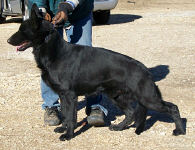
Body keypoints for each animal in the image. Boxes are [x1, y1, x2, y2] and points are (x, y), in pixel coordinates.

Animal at [6, 4, 185, 141]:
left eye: (22, 30)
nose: (7, 40)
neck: (54, 51)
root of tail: (145, 69)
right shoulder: (63, 96)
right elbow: (65, 114)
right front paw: (63, 128)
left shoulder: (69, 96)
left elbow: (71, 117)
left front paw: (68, 135)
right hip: (117, 97)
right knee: (131, 113)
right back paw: (119, 127)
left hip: (148, 99)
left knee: (173, 108)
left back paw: (180, 130)